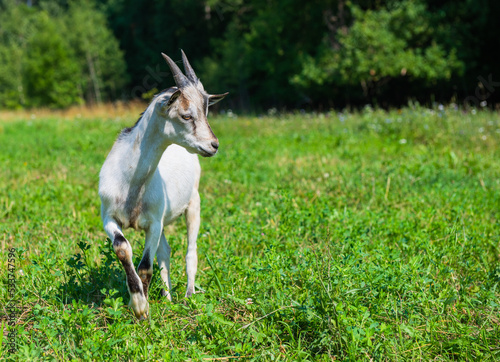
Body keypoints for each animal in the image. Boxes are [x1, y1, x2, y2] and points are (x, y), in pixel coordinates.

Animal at [98, 51, 228, 320]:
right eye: (186, 115)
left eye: (206, 112)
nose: (213, 145)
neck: (131, 184)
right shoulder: (109, 217)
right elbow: (123, 248)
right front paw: (138, 303)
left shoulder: (154, 223)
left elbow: (146, 266)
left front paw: (143, 310)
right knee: (166, 253)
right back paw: (168, 299)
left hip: (194, 204)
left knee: (191, 251)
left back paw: (188, 297)